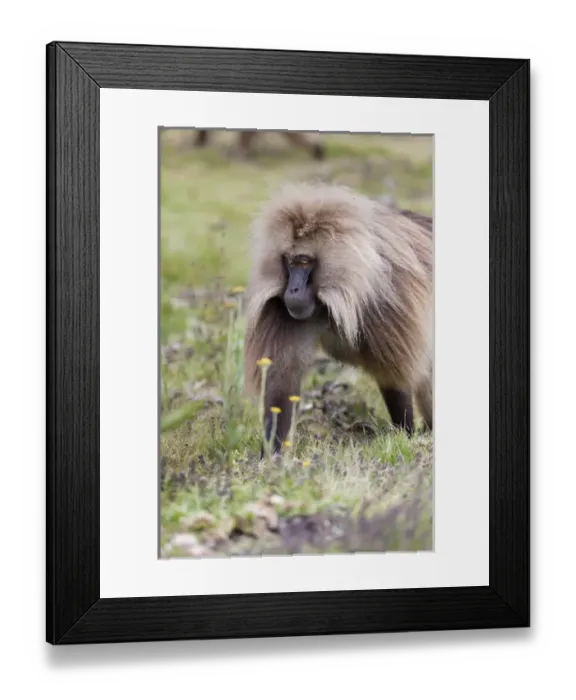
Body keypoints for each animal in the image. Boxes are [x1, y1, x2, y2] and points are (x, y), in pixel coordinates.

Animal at [243, 181, 433, 455]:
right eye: (289, 262)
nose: (293, 290)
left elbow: (395, 376)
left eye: (304, 262)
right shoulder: (288, 312)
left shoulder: (388, 302)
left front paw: (405, 434)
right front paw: (272, 456)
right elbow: (281, 384)